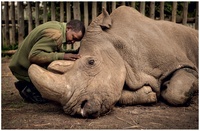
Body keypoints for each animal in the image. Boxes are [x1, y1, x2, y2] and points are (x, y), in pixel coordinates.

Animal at [28, 5, 198, 117]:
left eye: (91, 62)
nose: (76, 109)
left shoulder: (180, 63)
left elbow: (176, 92)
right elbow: (116, 93)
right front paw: (149, 93)